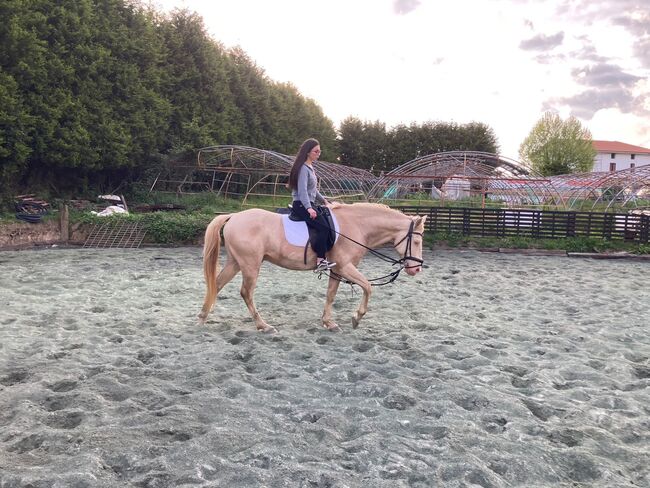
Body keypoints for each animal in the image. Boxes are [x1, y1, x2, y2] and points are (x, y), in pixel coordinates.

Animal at [197, 201, 426, 332]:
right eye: (416, 241)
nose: (416, 269)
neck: (356, 226)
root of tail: (234, 216)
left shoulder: (336, 269)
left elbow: (331, 295)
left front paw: (328, 322)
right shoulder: (345, 267)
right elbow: (368, 287)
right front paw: (356, 317)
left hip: (236, 263)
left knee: (217, 284)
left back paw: (202, 317)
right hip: (250, 265)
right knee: (246, 293)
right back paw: (263, 326)